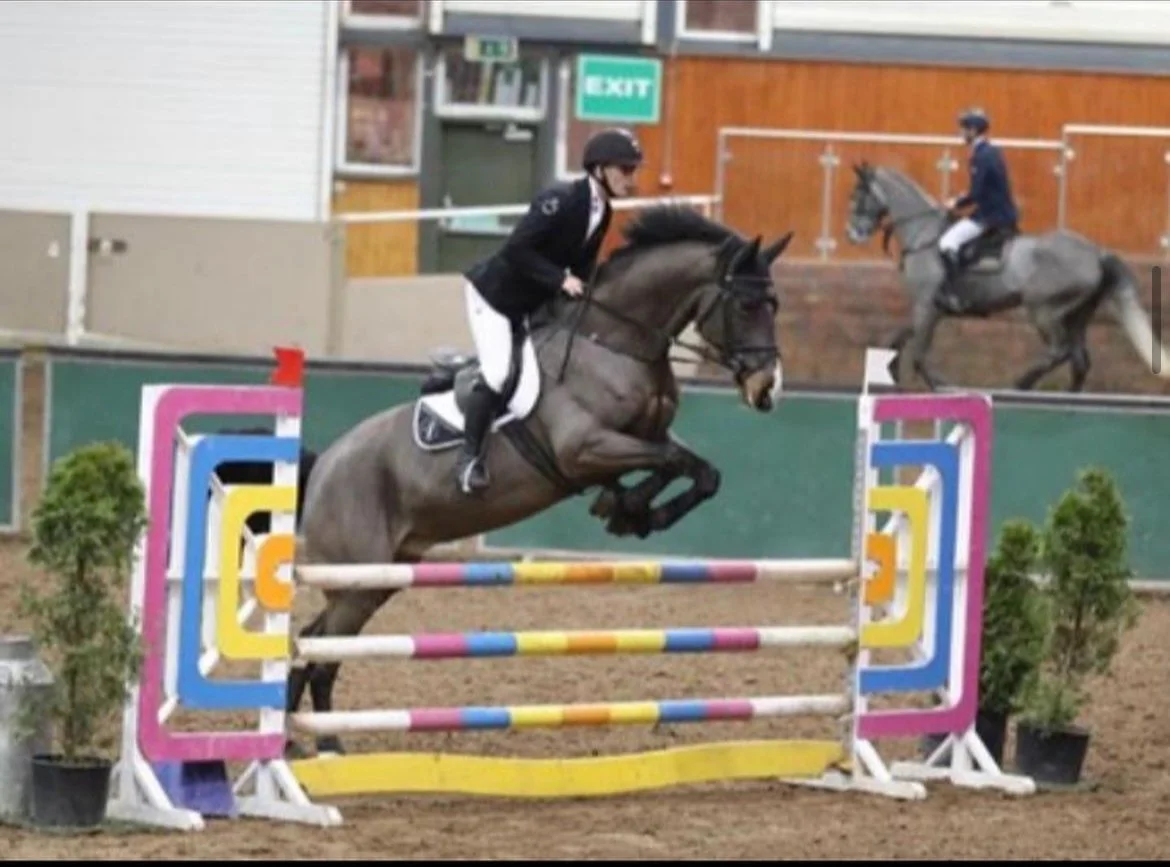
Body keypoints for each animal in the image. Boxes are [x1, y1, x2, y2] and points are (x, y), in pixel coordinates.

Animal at [283, 205, 794, 757]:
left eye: (774, 304)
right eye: (746, 304)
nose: (767, 389)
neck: (615, 344)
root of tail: (325, 466)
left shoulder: (640, 439)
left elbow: (696, 470)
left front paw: (629, 512)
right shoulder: (584, 448)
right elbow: (672, 462)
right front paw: (629, 509)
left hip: (382, 577)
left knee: (313, 642)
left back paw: (296, 743)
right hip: (356, 578)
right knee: (321, 651)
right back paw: (323, 746)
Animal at [844, 161, 1170, 392]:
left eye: (858, 196)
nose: (852, 235)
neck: (923, 233)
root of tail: (1096, 252)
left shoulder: (927, 307)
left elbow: (919, 354)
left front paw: (941, 385)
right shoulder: (929, 308)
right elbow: (894, 338)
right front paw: (891, 372)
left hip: (1043, 310)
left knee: (1059, 351)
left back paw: (1020, 384)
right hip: (1077, 315)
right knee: (1079, 360)